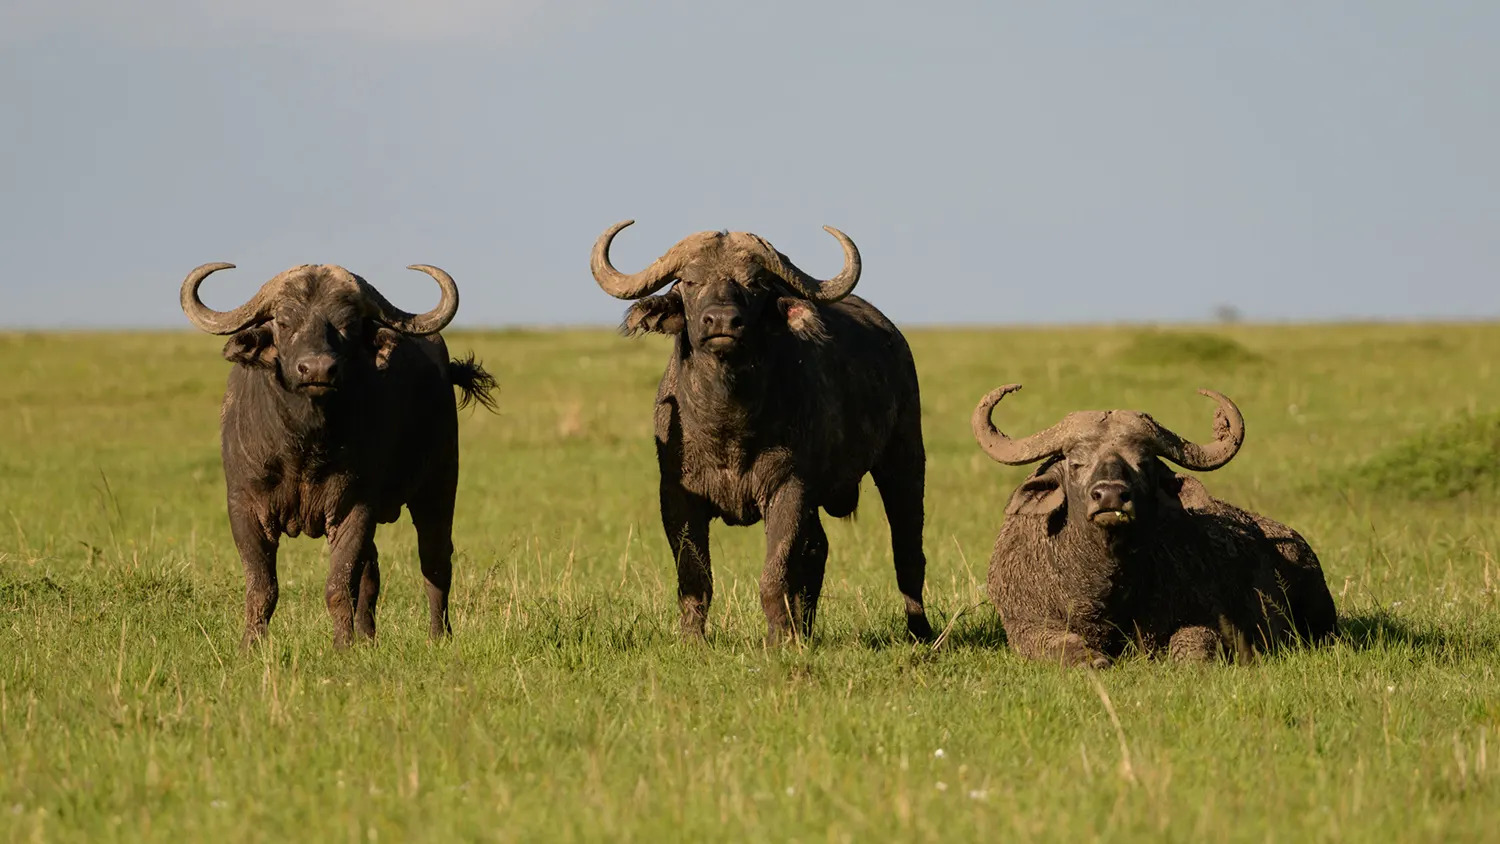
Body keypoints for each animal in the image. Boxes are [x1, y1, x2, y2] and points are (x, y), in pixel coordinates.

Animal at [175, 263, 492, 647]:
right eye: (284, 322)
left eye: (348, 324)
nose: (317, 370)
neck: (303, 445)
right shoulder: (245, 506)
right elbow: (262, 587)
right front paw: (251, 646)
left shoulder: (354, 507)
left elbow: (339, 586)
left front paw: (343, 646)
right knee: (372, 571)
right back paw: (369, 637)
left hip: (438, 485)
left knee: (434, 561)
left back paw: (438, 636)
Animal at [588, 221, 930, 644]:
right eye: (689, 281)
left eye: (754, 283)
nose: (722, 322)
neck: (728, 426)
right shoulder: (676, 497)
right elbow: (694, 576)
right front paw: (693, 640)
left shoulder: (789, 489)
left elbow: (775, 574)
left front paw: (778, 640)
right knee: (818, 548)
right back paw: (806, 630)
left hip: (904, 459)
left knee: (907, 551)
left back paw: (920, 632)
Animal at [972, 383, 1338, 668]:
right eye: (1076, 463)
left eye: (1142, 463)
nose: (1111, 496)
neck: (1106, 587)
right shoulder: (1025, 626)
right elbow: (1064, 647)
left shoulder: (1205, 620)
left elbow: (1191, 646)